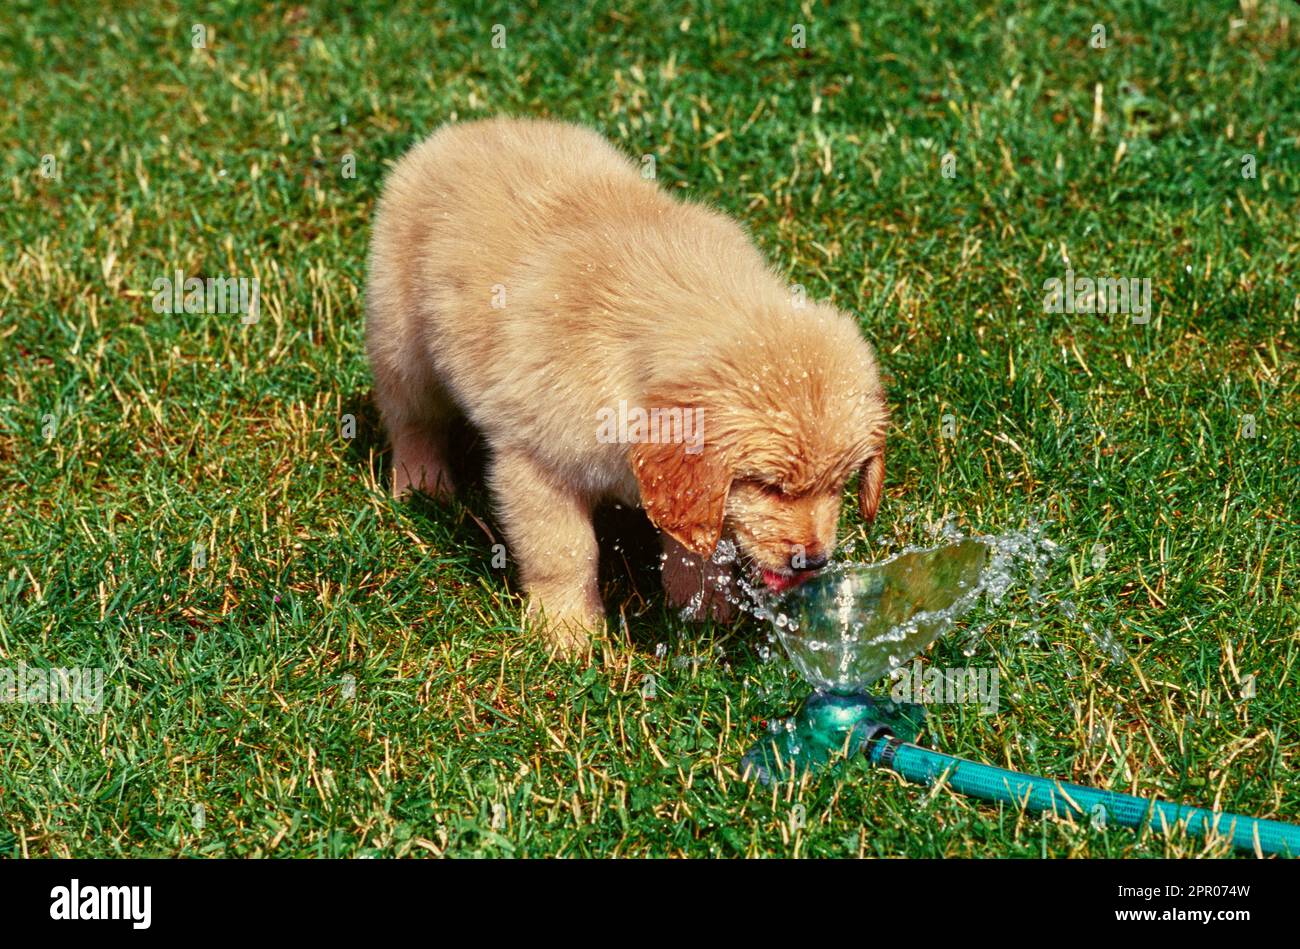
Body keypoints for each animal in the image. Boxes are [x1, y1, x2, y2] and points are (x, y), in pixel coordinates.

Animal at [371, 116, 889, 650]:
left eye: (840, 485)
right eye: (769, 486)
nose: (813, 560)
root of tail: (471, 128)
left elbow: (696, 547)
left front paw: (702, 616)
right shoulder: (536, 465)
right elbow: (564, 552)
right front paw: (567, 632)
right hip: (402, 342)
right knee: (411, 420)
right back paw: (422, 486)